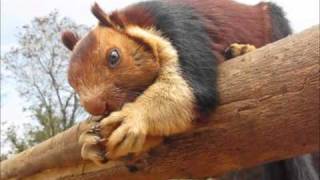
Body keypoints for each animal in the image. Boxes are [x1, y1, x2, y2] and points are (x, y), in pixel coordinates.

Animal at [61, 0, 292, 163]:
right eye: (72, 83)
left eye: (114, 56)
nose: (95, 106)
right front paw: (87, 141)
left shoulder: (182, 32)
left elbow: (186, 90)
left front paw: (132, 116)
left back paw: (242, 50)